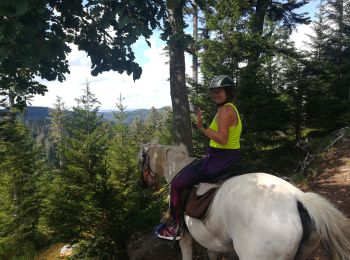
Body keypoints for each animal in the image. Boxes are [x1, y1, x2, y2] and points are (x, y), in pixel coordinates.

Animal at [139, 143, 350, 258]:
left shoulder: (185, 237)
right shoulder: (212, 242)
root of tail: (297, 198)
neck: (177, 168)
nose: (143, 184)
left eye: (140, 160)